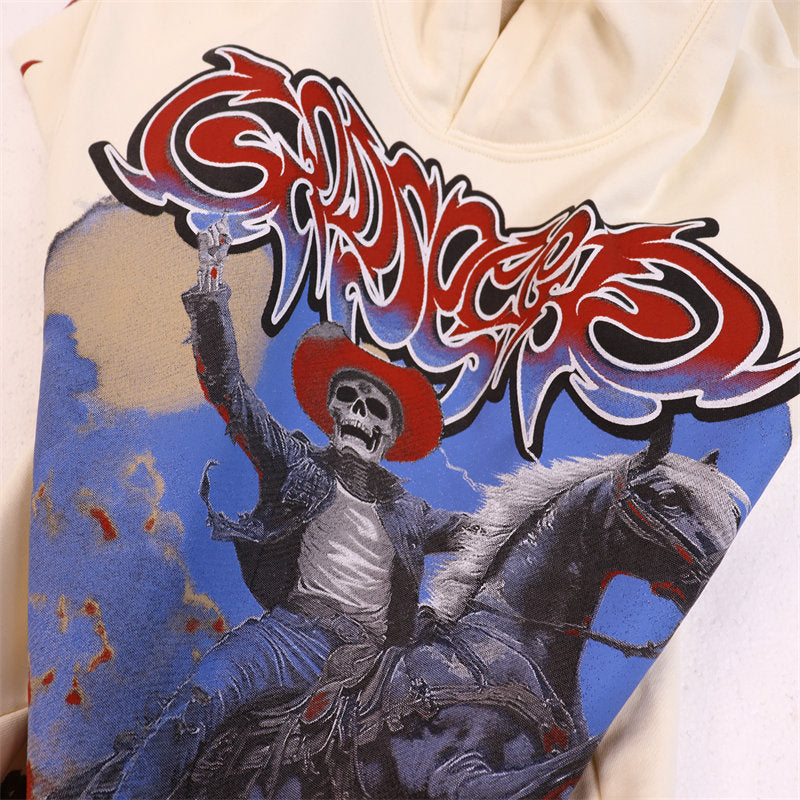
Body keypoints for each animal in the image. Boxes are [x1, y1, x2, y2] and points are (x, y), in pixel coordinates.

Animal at [171, 423, 746, 800]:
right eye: (667, 496)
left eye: (732, 509)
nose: (724, 563)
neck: (508, 648)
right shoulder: (455, 780)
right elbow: (578, 754)